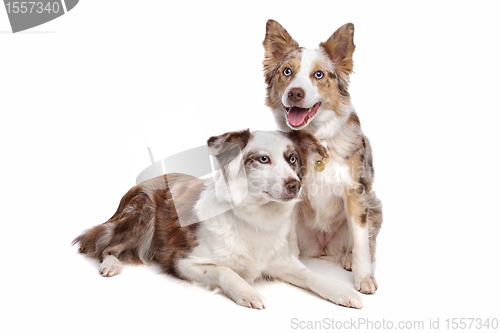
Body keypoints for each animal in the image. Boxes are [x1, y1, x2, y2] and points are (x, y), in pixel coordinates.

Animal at [73, 130, 364, 308]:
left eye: (292, 159)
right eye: (263, 159)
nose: (295, 185)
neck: (254, 218)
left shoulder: (282, 261)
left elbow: (314, 277)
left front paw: (343, 292)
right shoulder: (183, 260)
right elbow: (226, 271)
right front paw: (248, 292)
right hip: (143, 213)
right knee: (104, 244)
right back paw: (111, 264)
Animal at [264, 20, 384, 294]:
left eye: (318, 75)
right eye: (287, 71)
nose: (295, 93)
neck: (316, 143)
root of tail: (323, 248)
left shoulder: (356, 191)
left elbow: (361, 242)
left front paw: (364, 278)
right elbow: (290, 239)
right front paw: (291, 267)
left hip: (374, 205)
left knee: (367, 241)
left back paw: (349, 259)